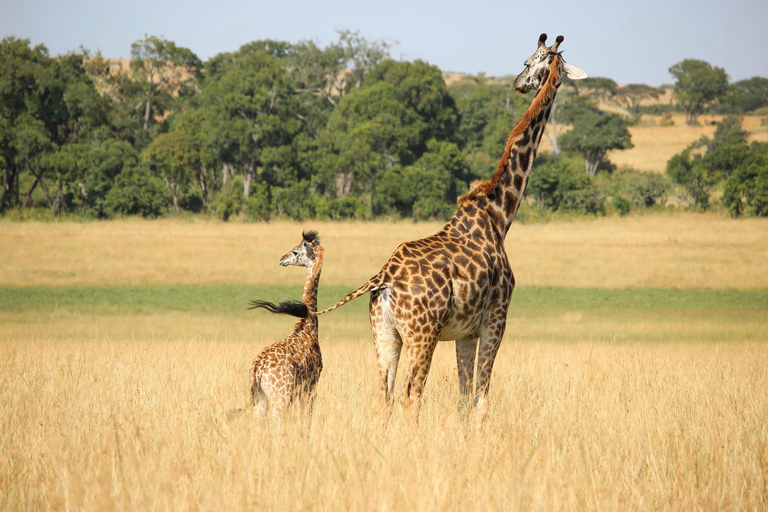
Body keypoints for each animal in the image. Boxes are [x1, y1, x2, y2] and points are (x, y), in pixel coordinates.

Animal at [248, 231, 322, 416]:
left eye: (295, 251)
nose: (282, 259)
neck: (308, 325)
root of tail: (257, 370)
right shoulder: (312, 383)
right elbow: (306, 416)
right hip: (281, 397)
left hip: (261, 399)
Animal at [320, 33, 584, 416]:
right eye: (529, 61)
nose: (520, 83)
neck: (499, 215)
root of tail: (383, 277)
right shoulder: (496, 318)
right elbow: (481, 396)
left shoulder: (465, 332)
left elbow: (463, 396)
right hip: (422, 334)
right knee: (411, 394)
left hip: (384, 334)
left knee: (385, 394)